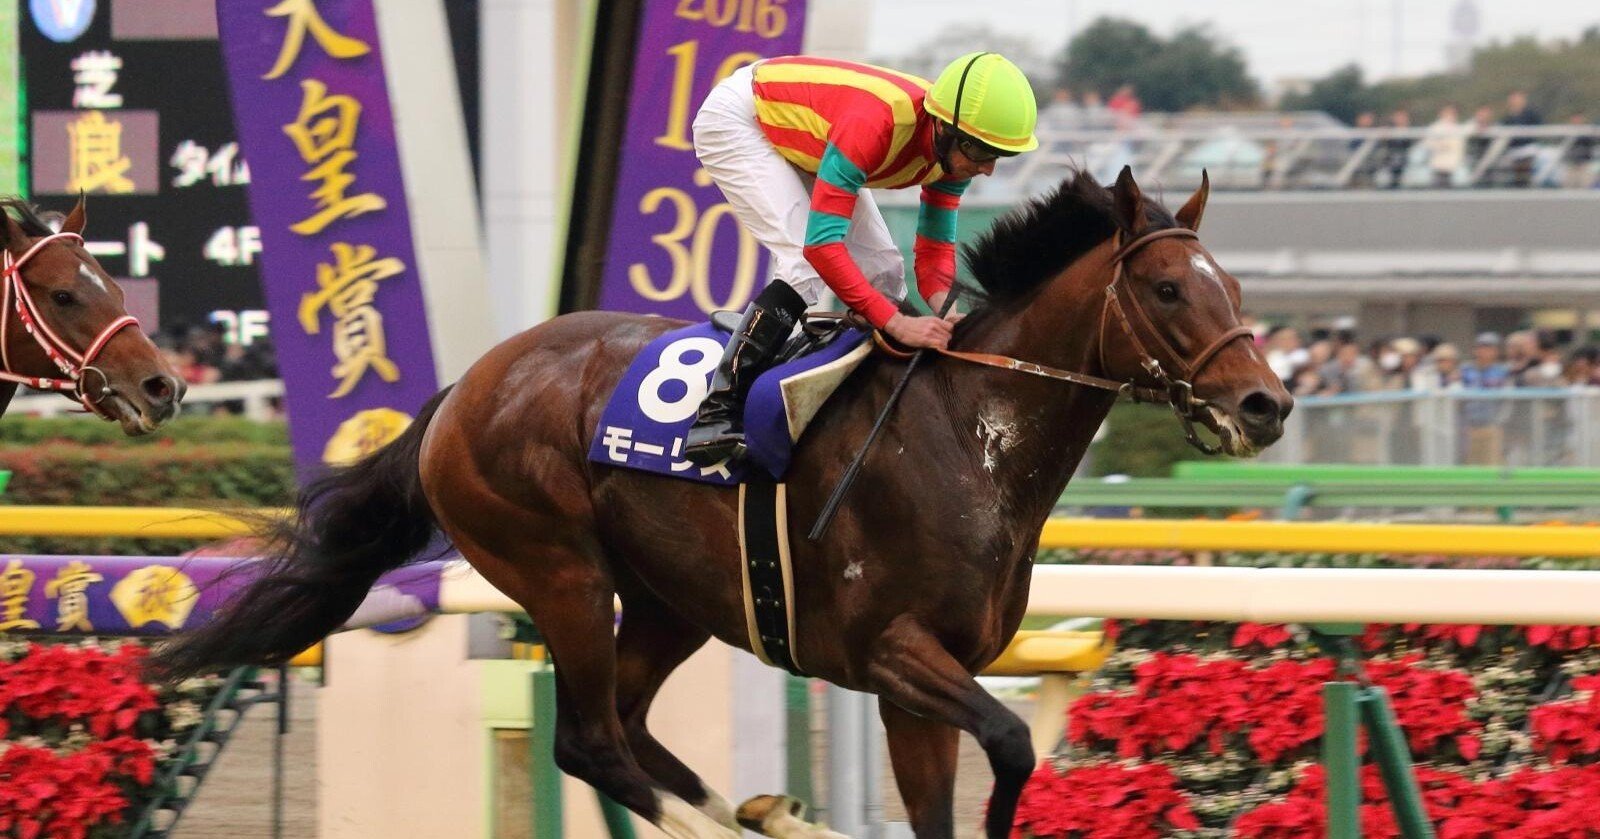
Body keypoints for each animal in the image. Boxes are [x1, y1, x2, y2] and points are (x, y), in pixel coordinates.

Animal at [150, 167, 1291, 839]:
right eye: (1168, 290)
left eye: (1234, 285)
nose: (1265, 403)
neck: (968, 434)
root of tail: (464, 387)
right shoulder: (890, 648)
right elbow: (1012, 744)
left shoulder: (922, 677)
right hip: (556, 569)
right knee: (590, 741)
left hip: (673, 598)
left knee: (628, 724)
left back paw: (770, 812)